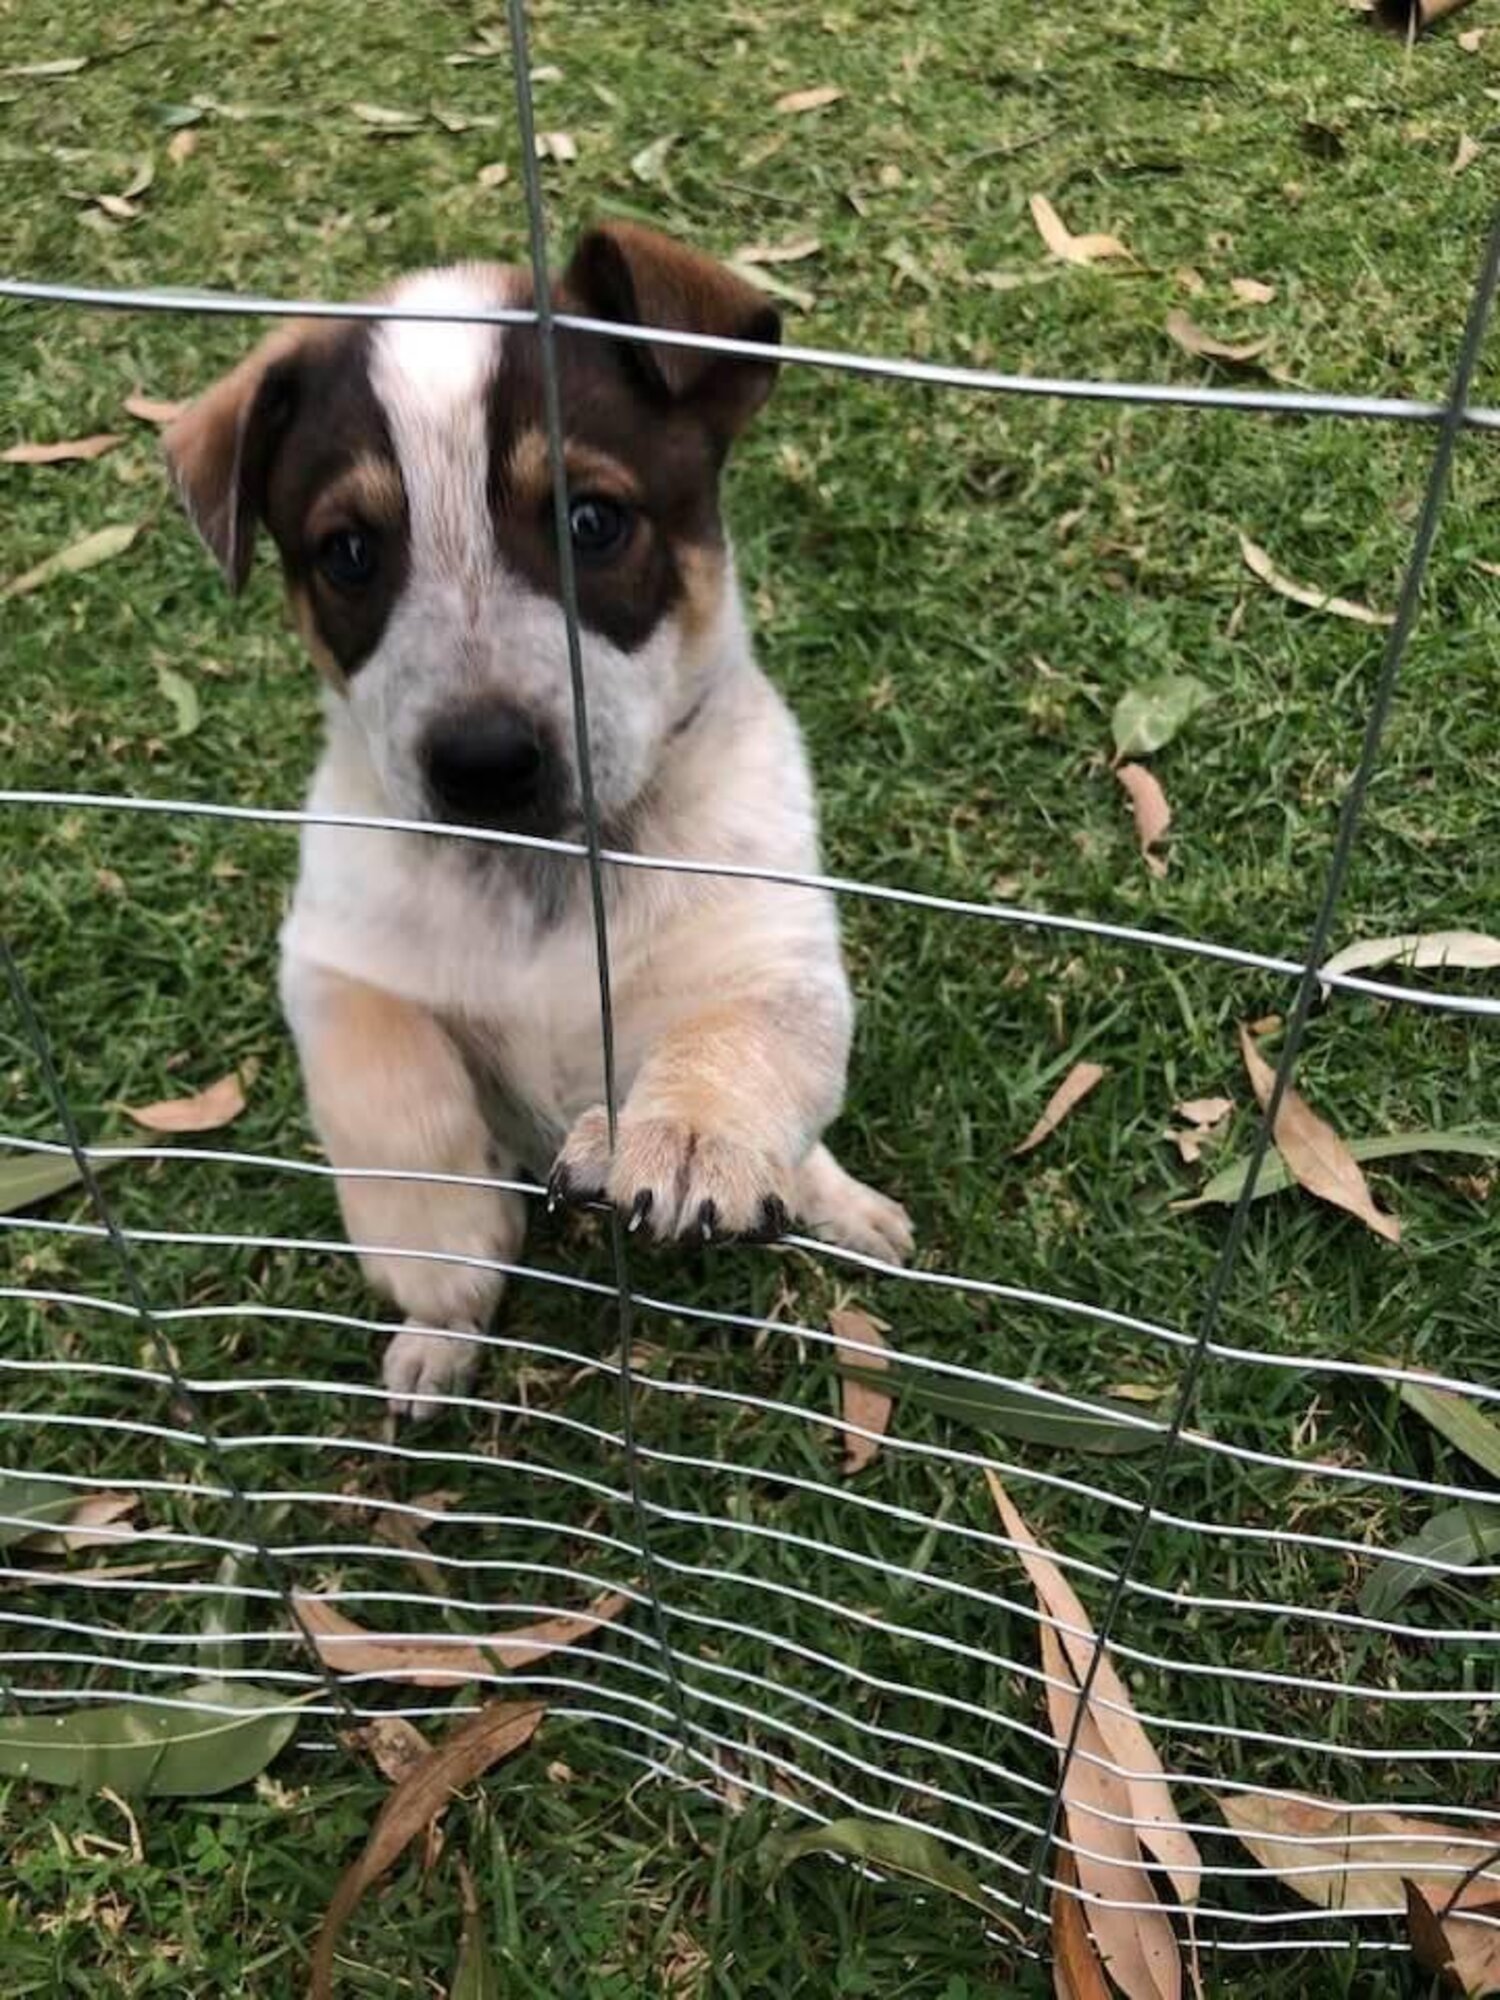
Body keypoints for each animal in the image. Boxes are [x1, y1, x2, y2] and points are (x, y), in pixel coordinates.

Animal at [166, 223, 916, 1424]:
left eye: (591, 522)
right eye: (348, 553)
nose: (480, 763)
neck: (540, 875)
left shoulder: (772, 955)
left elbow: (733, 1040)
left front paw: (689, 1135)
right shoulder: (335, 961)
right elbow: (393, 1094)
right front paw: (448, 1252)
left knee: (802, 1151)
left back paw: (839, 1202)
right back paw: (437, 1342)